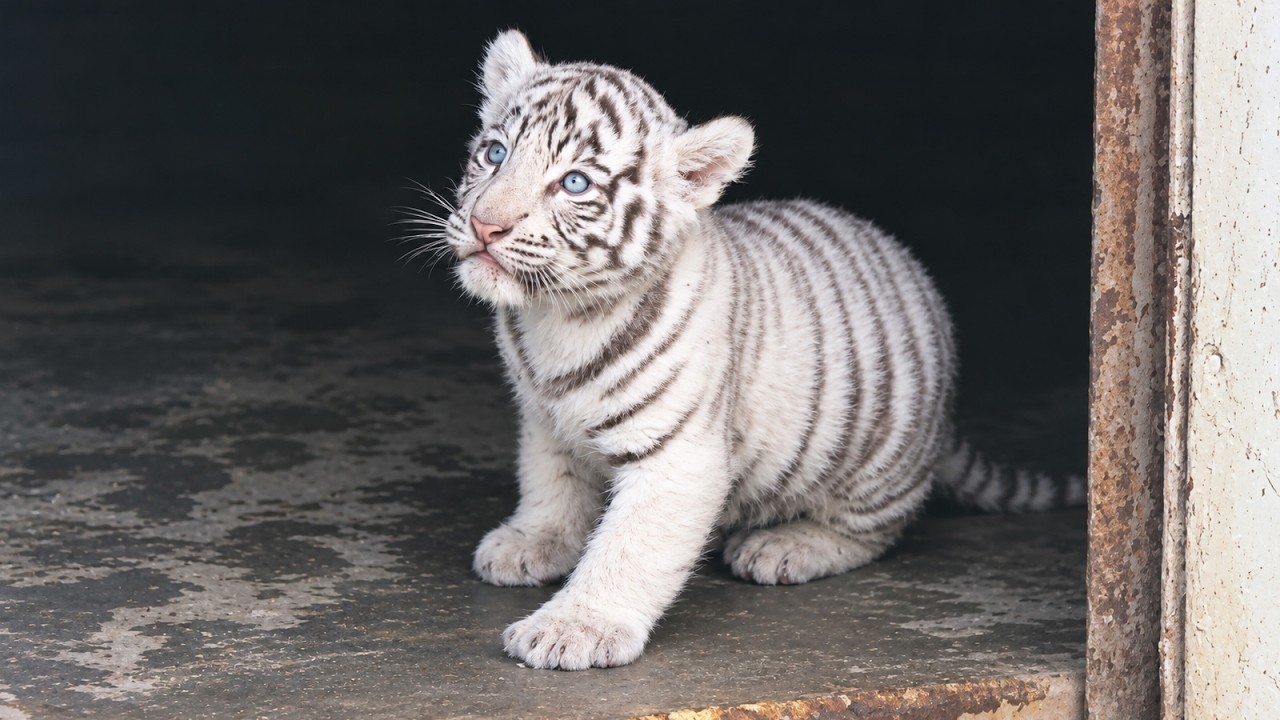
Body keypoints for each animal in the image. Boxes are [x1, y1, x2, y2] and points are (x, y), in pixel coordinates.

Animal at [416, 30, 1085, 670]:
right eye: (495, 153)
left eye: (573, 183)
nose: (485, 225)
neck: (558, 317)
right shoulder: (543, 419)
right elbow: (550, 485)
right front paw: (531, 542)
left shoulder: (677, 452)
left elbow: (629, 548)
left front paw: (573, 630)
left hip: (876, 457)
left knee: (877, 529)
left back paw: (787, 547)